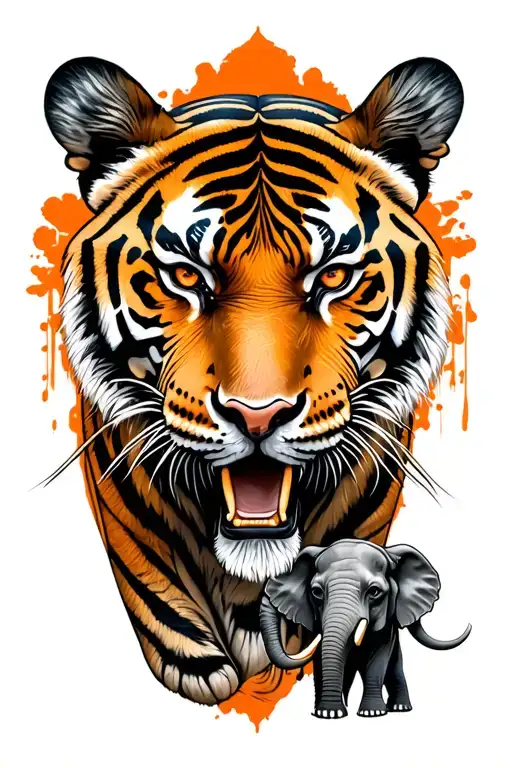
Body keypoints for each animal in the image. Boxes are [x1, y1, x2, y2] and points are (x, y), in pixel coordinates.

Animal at [259, 539, 471, 719]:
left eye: (374, 592)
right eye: (316, 592)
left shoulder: (386, 626)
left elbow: (377, 660)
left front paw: (372, 713)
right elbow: (321, 657)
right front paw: (328, 713)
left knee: (394, 667)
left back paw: (400, 708)